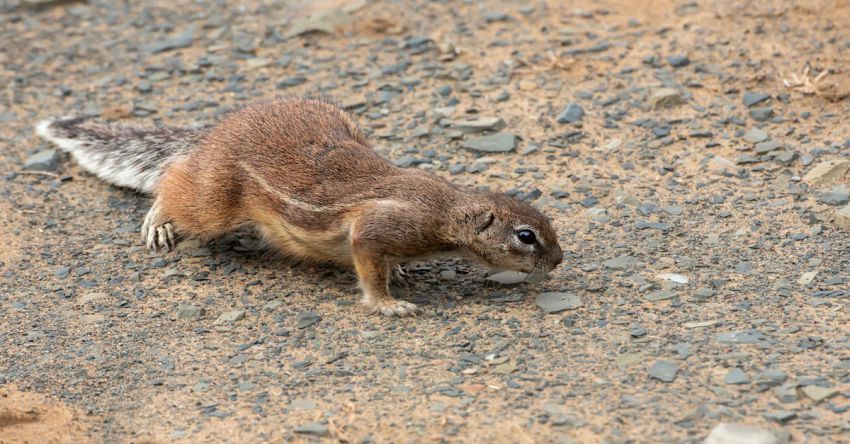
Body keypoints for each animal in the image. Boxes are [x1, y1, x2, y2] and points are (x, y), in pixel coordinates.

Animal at [34, 97, 564, 316]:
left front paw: (399, 273)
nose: (559, 261)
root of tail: (214, 135)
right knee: (176, 180)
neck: (449, 208)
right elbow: (367, 263)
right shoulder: (382, 226)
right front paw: (389, 304)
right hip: (216, 201)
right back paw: (159, 220)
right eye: (526, 236)